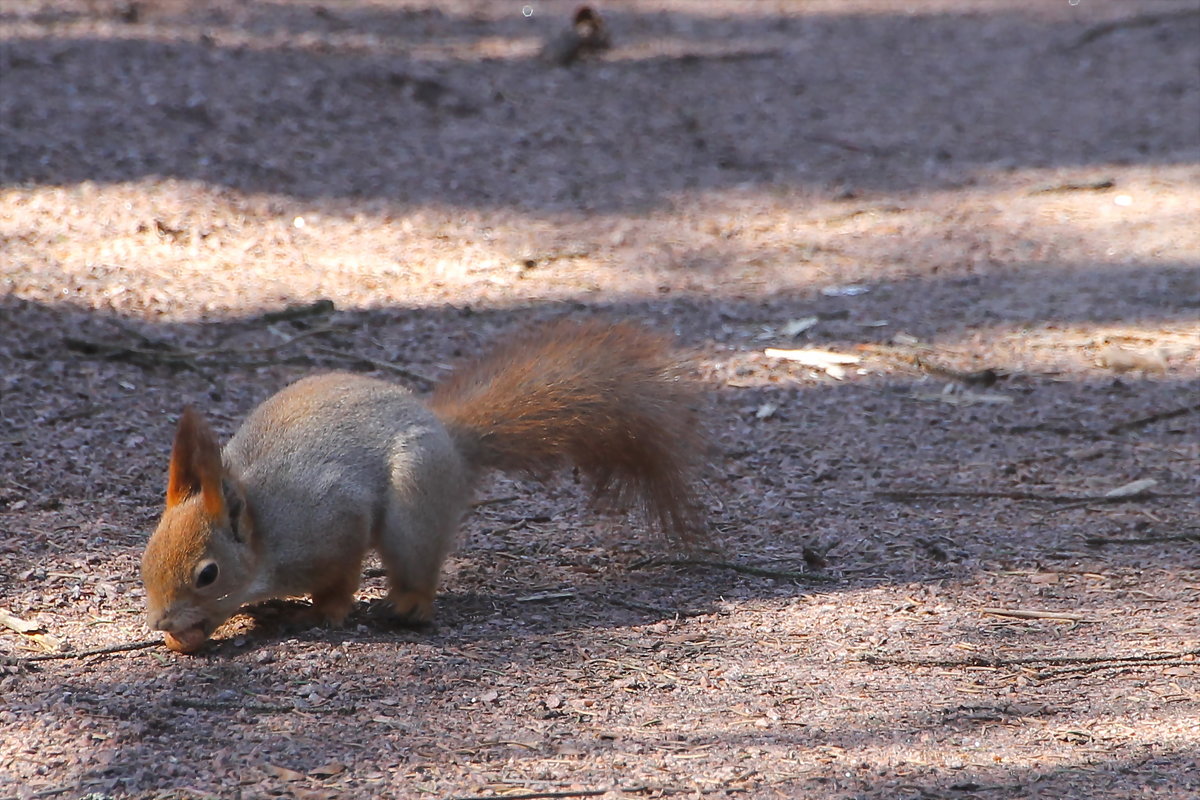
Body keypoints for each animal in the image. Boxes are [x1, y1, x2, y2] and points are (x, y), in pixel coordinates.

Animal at [139, 319, 705, 652]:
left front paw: (324, 612)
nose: (161, 622)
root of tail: (449, 437)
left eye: (208, 574)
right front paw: (186, 640)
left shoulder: (334, 524)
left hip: (414, 505)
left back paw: (408, 606)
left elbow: (340, 581)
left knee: (419, 567)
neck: (264, 529)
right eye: (144, 560)